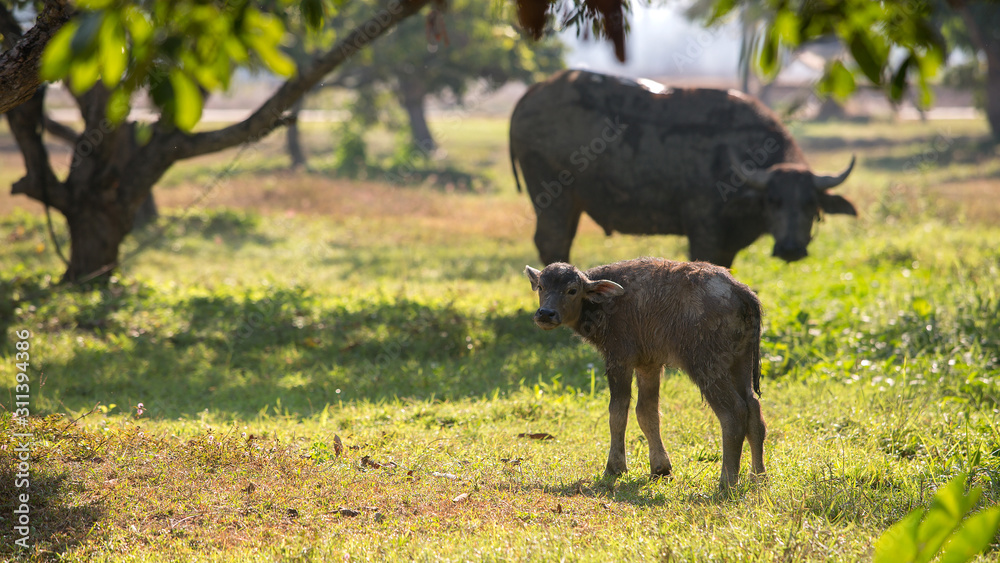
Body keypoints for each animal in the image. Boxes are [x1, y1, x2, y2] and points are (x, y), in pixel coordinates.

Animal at [510, 69, 857, 268]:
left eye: (810, 203)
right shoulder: (703, 228)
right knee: (551, 241)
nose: (790, 249)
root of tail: (532, 93)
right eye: (773, 201)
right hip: (552, 195)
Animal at [525, 257, 765, 490]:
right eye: (541, 286)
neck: (604, 305)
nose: (545, 313)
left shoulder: (619, 359)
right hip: (740, 359)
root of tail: (740, 290)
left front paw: (614, 468)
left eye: (572, 290)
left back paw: (727, 481)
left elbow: (618, 412)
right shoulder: (648, 364)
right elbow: (647, 413)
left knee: (733, 413)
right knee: (753, 407)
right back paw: (758, 476)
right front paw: (660, 468)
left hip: (706, 364)